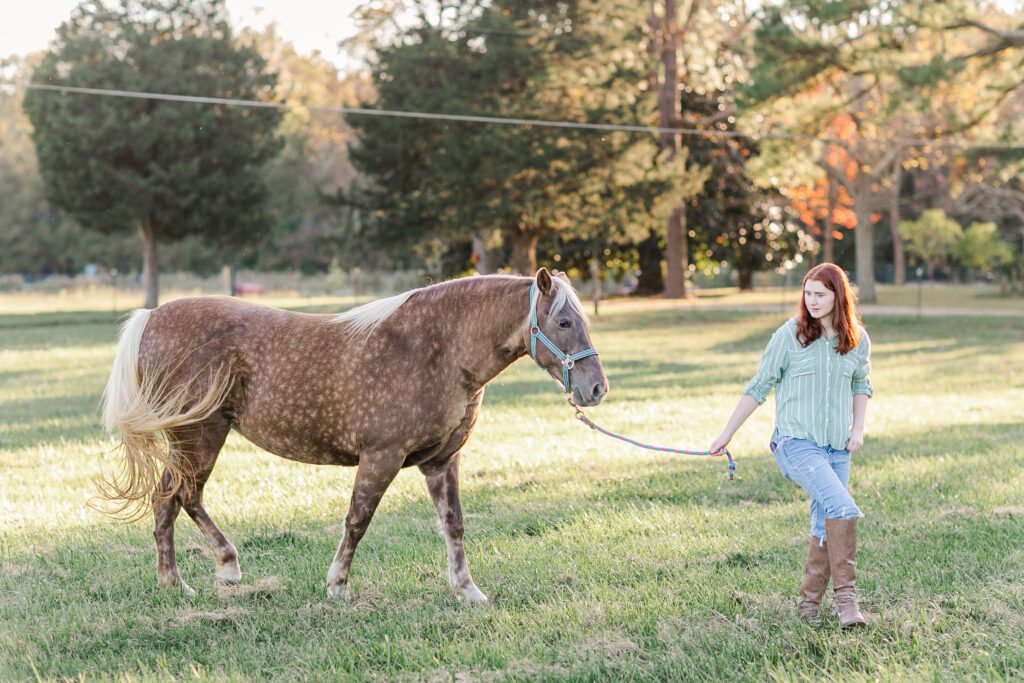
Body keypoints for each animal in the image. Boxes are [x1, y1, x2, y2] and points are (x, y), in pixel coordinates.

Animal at [99, 266, 606, 598]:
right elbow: (358, 520)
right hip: (199, 435)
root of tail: (152, 317)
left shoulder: (440, 462)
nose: (596, 388)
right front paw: (338, 585)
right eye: (564, 321)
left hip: (197, 438)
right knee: (179, 496)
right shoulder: (381, 456)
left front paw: (467, 591)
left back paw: (184, 579)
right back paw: (210, 572)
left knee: (174, 498)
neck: (434, 348)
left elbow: (454, 524)